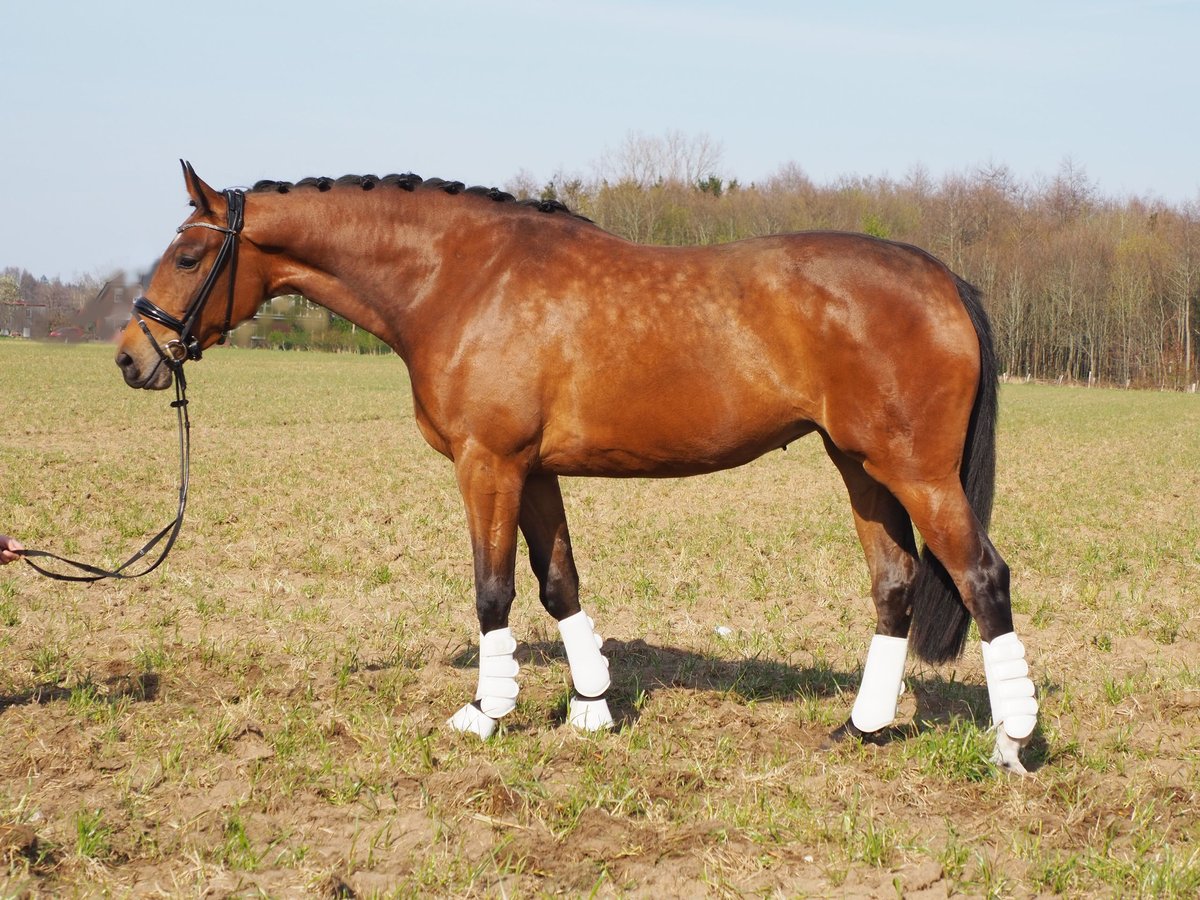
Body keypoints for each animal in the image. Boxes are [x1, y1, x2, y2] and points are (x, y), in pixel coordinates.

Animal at [114, 162, 1041, 777]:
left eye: (190, 258)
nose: (131, 356)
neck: (463, 279)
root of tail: (941, 278)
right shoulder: (534, 472)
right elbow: (558, 581)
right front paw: (591, 708)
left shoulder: (487, 465)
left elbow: (493, 589)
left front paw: (485, 714)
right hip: (861, 467)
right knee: (895, 585)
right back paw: (863, 729)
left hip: (916, 471)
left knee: (982, 578)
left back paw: (1011, 743)